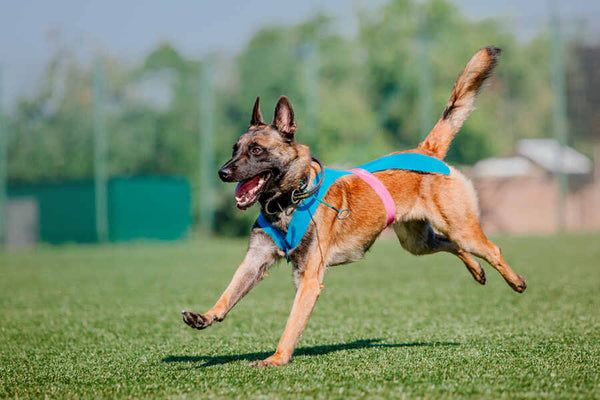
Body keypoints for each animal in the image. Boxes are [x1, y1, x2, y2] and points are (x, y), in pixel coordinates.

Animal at [182, 46, 524, 366]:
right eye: (234, 149)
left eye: (256, 150)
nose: (222, 172)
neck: (290, 201)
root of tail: (426, 150)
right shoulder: (255, 261)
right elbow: (229, 293)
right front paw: (207, 316)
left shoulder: (308, 280)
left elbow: (291, 326)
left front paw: (277, 359)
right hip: (418, 243)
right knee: (454, 246)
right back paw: (477, 271)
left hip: (459, 226)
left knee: (491, 249)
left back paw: (516, 281)